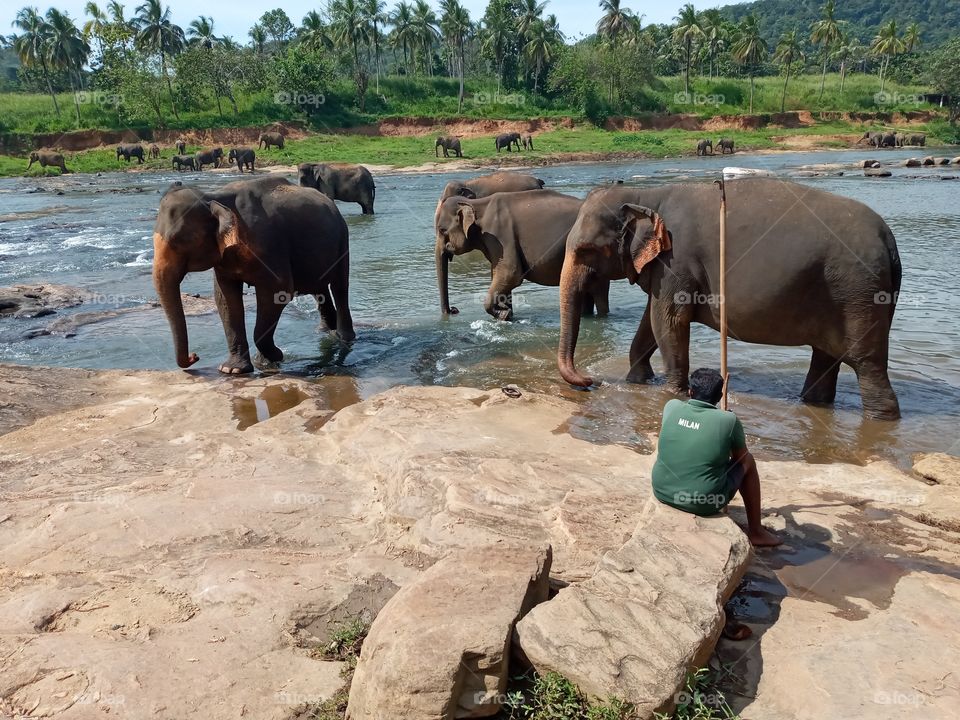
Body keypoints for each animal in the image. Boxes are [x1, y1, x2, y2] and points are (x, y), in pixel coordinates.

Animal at [152, 175, 354, 374]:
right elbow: (225, 298)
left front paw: (271, 358)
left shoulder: (269, 244)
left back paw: (343, 337)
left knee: (339, 286)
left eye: (177, 241)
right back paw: (325, 330)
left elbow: (279, 292)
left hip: (342, 238)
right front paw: (232, 369)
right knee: (319, 289)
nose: (194, 356)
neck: (213, 198)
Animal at [436, 189, 610, 320]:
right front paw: (506, 314)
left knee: (599, 294)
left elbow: (510, 273)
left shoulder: (500, 235)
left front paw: (503, 314)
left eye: (441, 230)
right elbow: (500, 277)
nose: (454, 310)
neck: (476, 204)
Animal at [556, 179, 902, 420]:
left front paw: (671, 392)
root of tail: (889, 239)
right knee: (826, 358)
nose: (590, 381)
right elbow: (650, 321)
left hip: (858, 292)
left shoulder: (677, 261)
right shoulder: (664, 268)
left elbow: (668, 320)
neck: (647, 196)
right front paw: (638, 381)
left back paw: (880, 419)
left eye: (586, 249)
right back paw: (813, 403)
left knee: (867, 365)